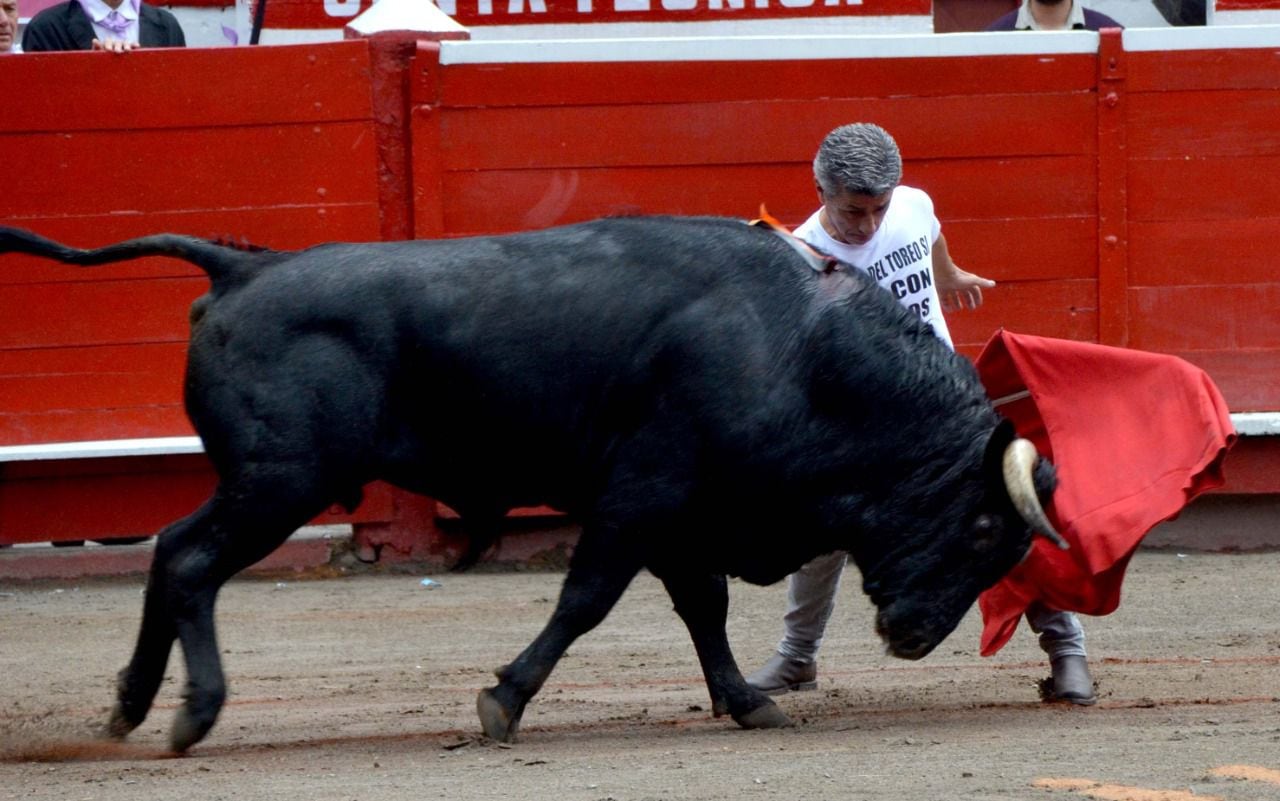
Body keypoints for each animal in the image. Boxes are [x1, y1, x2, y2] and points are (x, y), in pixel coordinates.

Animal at [0, 213, 1059, 747]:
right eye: (979, 531)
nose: (914, 636)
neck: (800, 349)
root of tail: (242, 270)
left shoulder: (682, 513)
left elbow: (704, 606)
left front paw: (746, 700)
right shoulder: (643, 497)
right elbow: (587, 598)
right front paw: (503, 699)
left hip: (264, 482)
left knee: (171, 554)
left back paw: (131, 706)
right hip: (279, 481)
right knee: (188, 562)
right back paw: (191, 713)